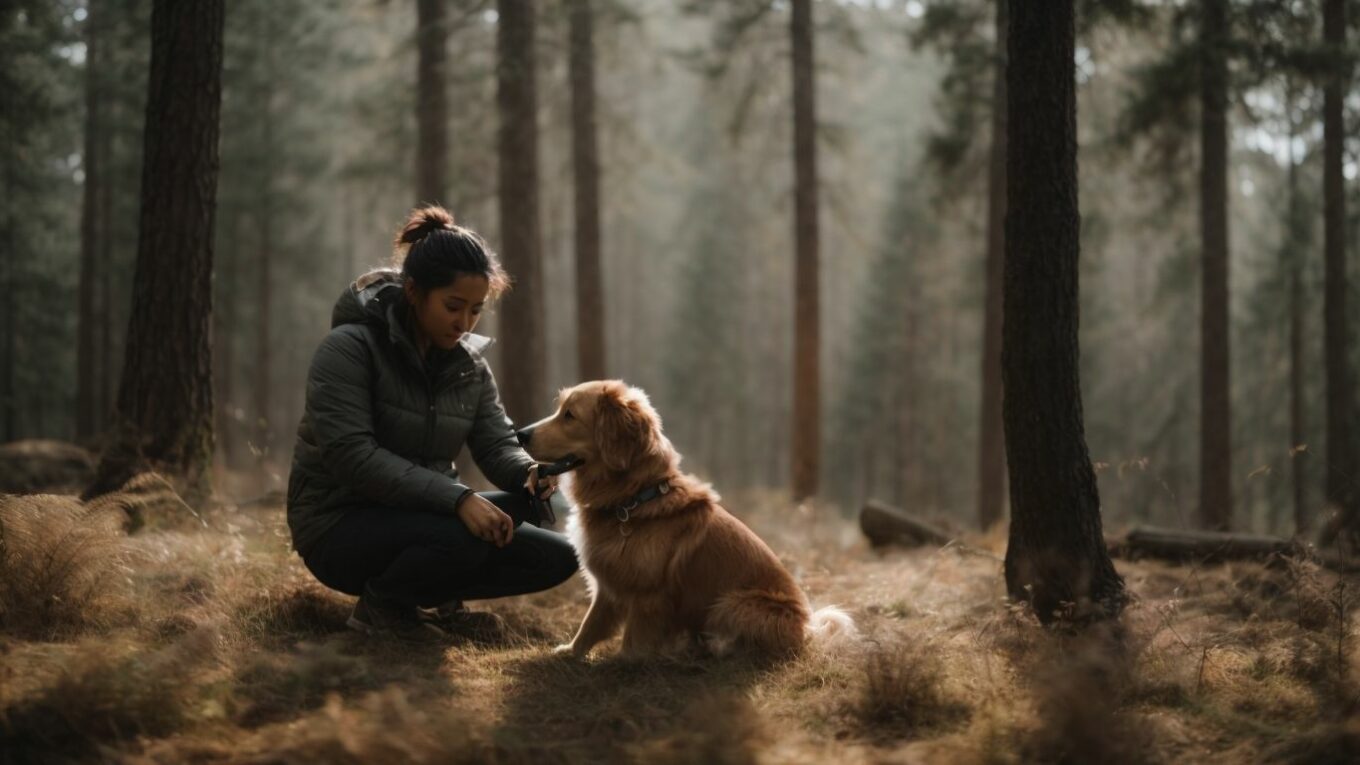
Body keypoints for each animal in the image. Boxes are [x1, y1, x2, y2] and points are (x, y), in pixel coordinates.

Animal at [514, 378, 854, 658]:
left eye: (570, 415)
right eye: (560, 410)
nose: (520, 434)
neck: (632, 499)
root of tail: (808, 630)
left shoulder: (649, 596)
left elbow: (634, 640)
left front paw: (625, 663)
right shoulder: (607, 585)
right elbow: (591, 623)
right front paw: (571, 652)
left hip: (734, 603)